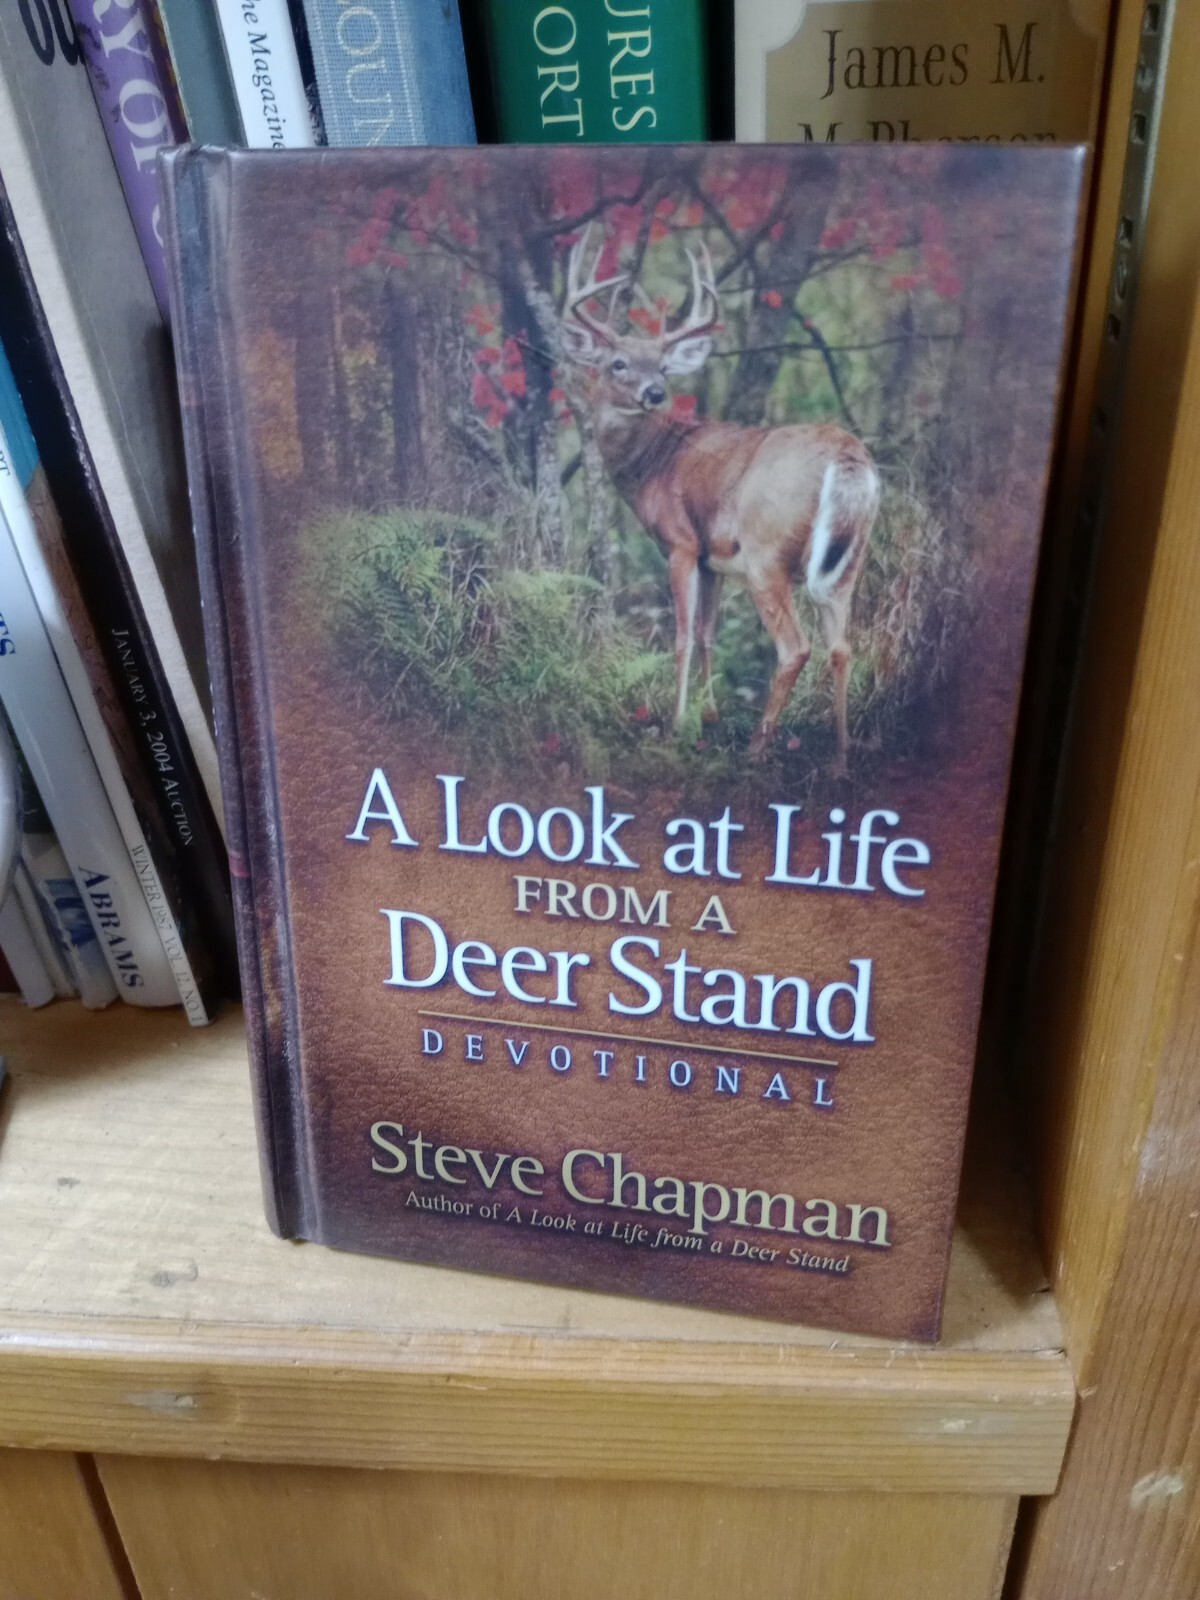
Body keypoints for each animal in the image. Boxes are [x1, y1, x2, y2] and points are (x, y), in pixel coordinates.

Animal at [559, 225, 880, 773]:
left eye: (663, 365)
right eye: (618, 363)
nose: (654, 392)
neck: (655, 464)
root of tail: (848, 456)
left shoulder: (682, 542)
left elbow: (684, 635)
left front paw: (676, 724)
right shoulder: (714, 559)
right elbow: (709, 632)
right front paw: (707, 717)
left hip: (767, 553)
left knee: (795, 647)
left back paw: (757, 747)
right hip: (849, 559)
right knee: (842, 646)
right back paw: (839, 761)